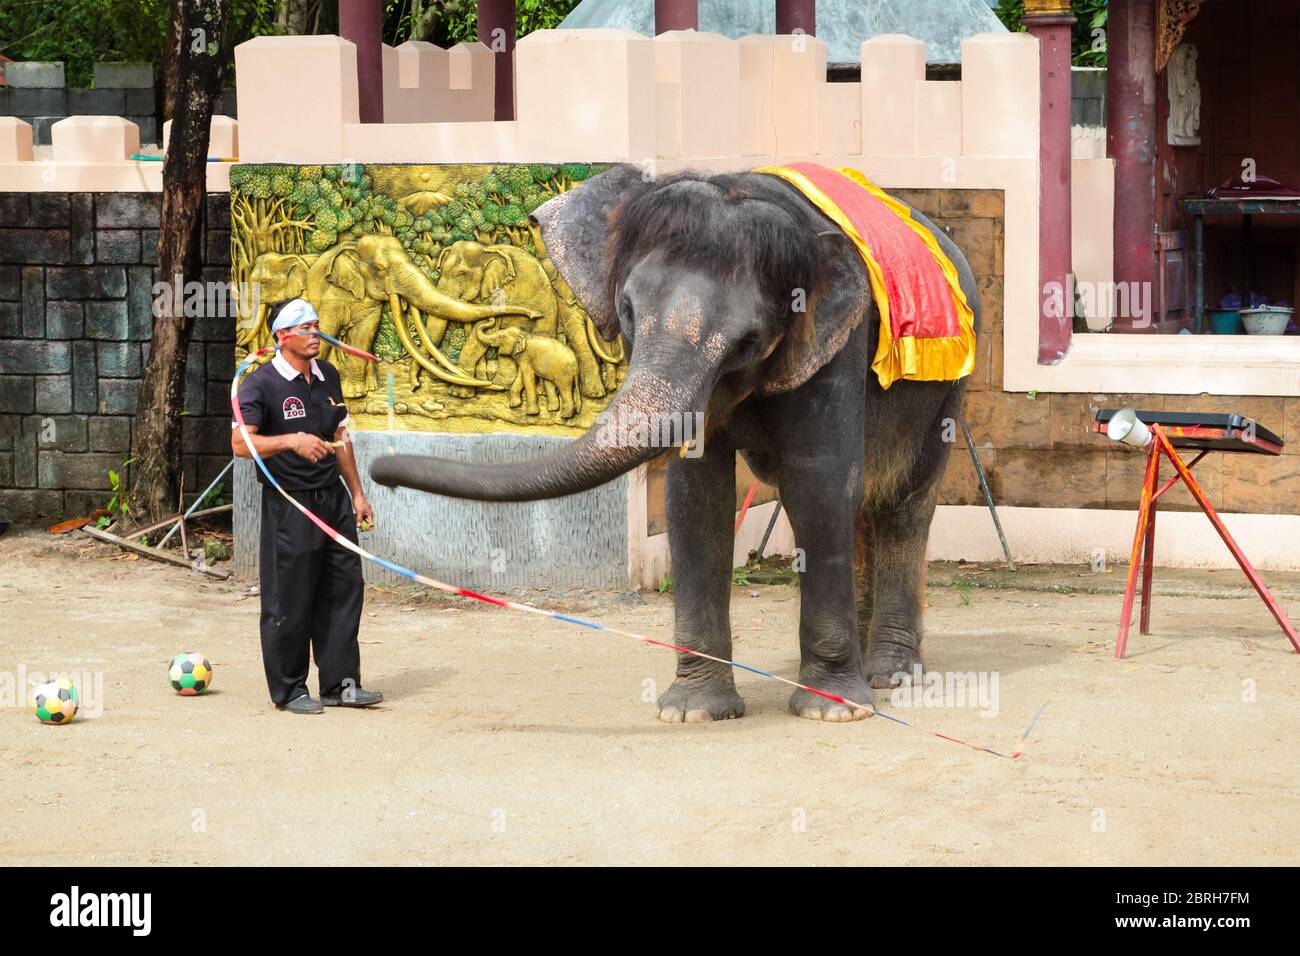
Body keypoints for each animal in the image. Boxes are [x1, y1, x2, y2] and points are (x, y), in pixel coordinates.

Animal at [301, 234, 535, 398]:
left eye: (461, 274)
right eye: (380, 268)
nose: (415, 385)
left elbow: (364, 334)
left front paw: (355, 394)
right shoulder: (330, 295)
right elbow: (324, 330)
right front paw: (348, 395)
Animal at [431, 244, 603, 403]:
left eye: (461, 273)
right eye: (441, 271)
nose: (534, 313)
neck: (486, 250)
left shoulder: (500, 292)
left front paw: (458, 393)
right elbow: (473, 331)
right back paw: (502, 386)